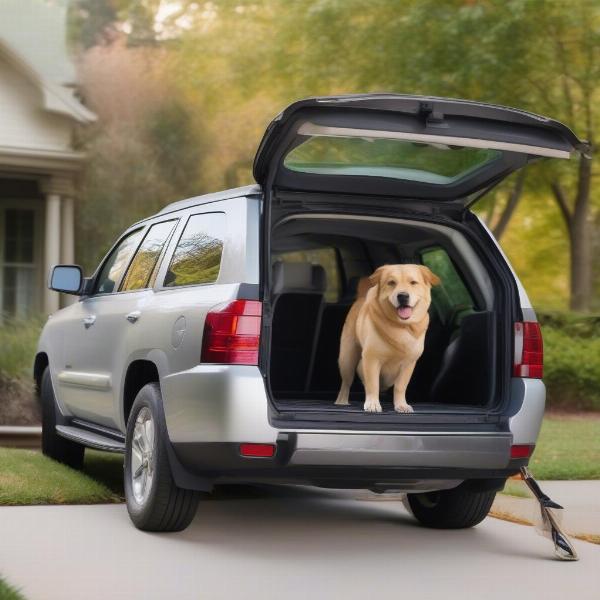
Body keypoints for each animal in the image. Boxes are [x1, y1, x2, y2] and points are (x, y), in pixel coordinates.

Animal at [336, 264, 438, 412]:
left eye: (413, 282)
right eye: (391, 283)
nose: (402, 296)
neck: (400, 325)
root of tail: (361, 298)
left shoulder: (408, 364)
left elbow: (400, 386)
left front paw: (401, 405)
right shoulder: (371, 358)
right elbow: (373, 383)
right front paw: (373, 404)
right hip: (347, 359)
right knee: (346, 382)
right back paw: (342, 401)